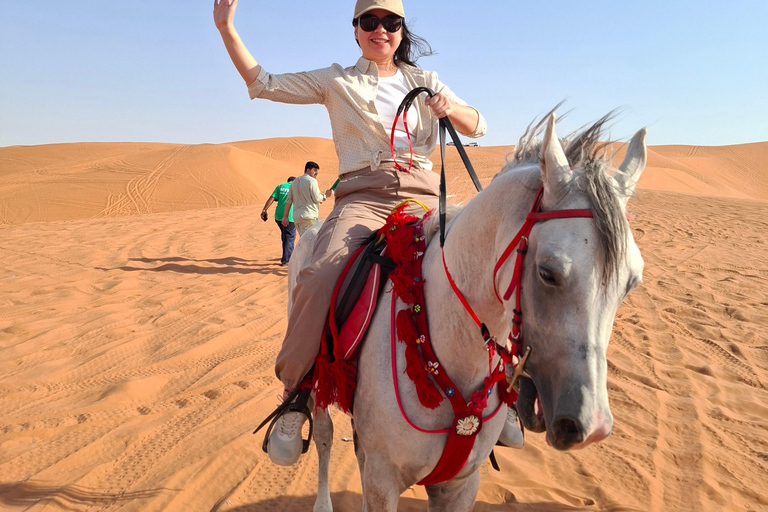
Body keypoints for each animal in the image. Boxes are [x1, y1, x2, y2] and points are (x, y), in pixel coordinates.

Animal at [292, 115, 648, 512]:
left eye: (632, 282)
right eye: (547, 272)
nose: (591, 425)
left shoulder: (461, 483)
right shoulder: (383, 481)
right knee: (322, 432)